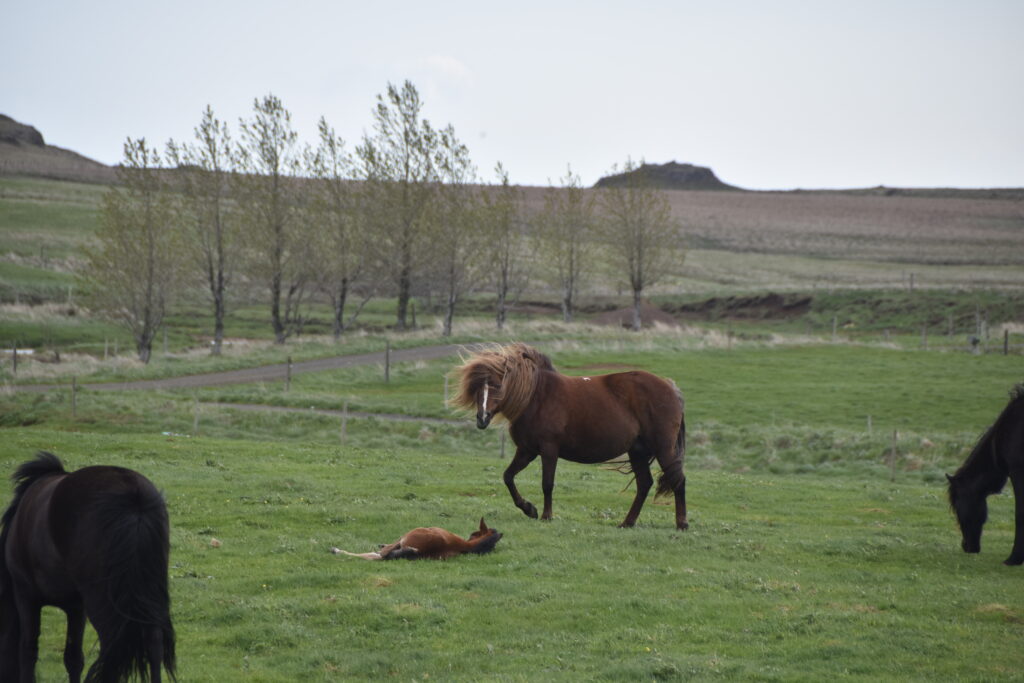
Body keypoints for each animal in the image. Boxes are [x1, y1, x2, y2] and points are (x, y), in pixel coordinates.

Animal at [0, 450, 176, 679]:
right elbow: (73, 657)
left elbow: (28, 651)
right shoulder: (76, 605)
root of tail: (134, 497)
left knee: (112, 644)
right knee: (153, 641)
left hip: (102, 599)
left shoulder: (25, 593)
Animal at [450, 344, 684, 532]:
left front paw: (546, 515)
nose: (482, 418)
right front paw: (529, 509)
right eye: (476, 387)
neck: (536, 397)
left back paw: (681, 524)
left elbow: (547, 483)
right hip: (637, 451)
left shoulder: (548, 449)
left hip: (663, 448)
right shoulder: (527, 451)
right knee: (644, 484)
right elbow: (508, 476)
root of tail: (670, 387)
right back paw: (627, 523)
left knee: (677, 479)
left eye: (497, 386)